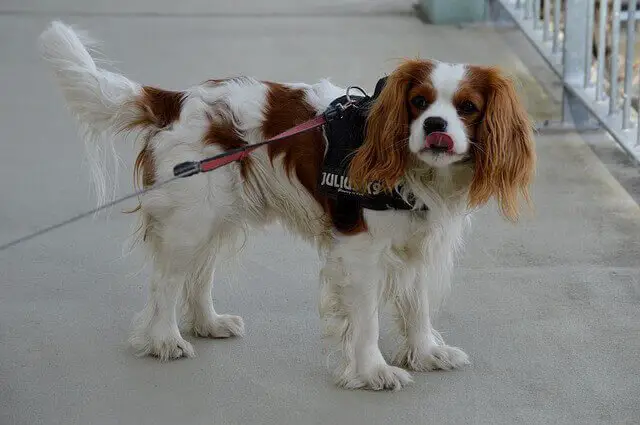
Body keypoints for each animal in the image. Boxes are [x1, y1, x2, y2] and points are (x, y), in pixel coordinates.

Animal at [38, 20, 536, 390]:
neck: (418, 173)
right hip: (191, 220)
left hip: (216, 216)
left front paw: (426, 353)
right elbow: (368, 319)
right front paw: (373, 371)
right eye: (418, 102)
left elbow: (418, 307)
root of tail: (177, 100)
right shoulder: (361, 252)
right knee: (167, 282)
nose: (435, 124)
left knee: (199, 275)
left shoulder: (418, 245)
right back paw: (165, 340)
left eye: (467, 108)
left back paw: (208, 322)